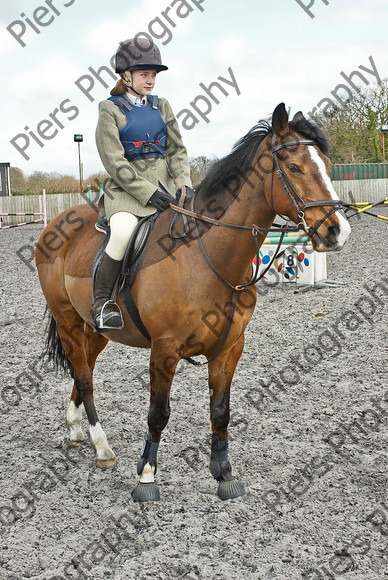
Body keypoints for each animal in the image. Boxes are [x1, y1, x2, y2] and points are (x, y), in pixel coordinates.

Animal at [35, 105, 352, 502]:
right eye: (293, 167)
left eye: (327, 163)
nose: (338, 231)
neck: (207, 256)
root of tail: (58, 222)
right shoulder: (165, 350)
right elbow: (158, 413)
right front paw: (147, 477)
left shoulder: (229, 347)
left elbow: (220, 411)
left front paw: (224, 474)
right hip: (66, 320)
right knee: (85, 377)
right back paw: (102, 447)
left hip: (95, 328)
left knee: (84, 371)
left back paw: (78, 431)